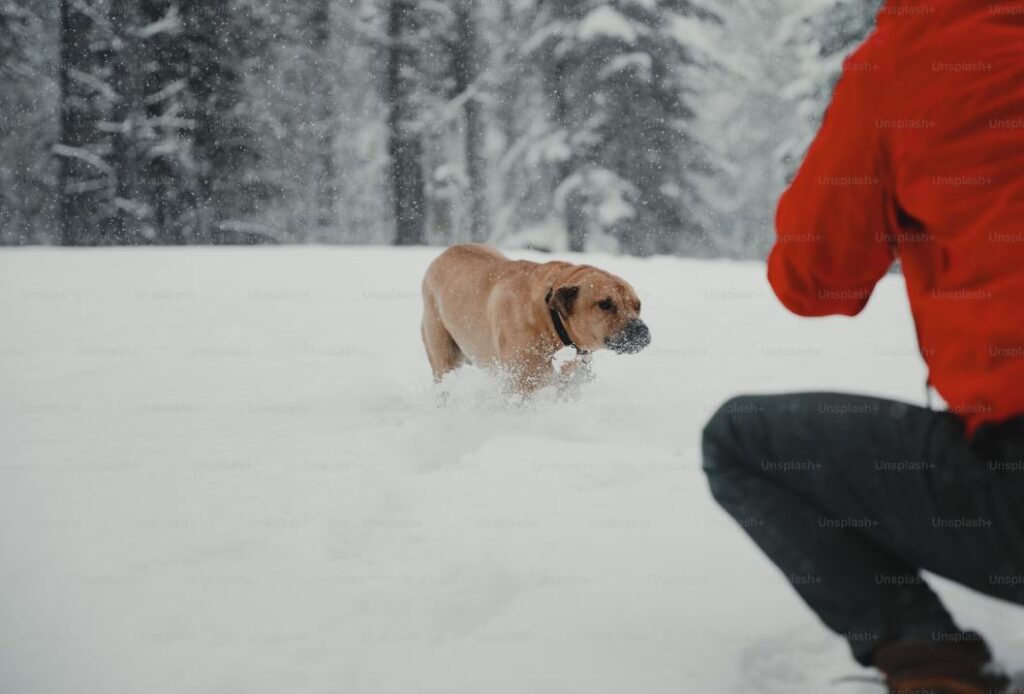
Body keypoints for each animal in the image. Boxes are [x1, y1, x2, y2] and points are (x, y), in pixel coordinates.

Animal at [421, 244, 647, 391]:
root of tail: (443, 254)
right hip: (443, 353)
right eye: (605, 304)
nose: (641, 330)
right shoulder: (522, 382)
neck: (550, 320)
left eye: (638, 306)